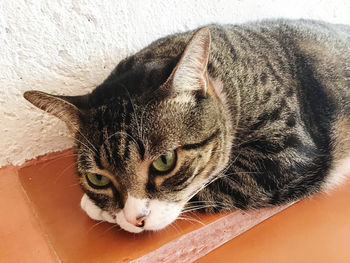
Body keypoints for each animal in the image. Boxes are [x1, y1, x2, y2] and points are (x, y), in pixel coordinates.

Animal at [23, 19, 350, 234]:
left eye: (165, 161)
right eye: (98, 179)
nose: (133, 220)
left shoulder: (287, 153)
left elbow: (217, 183)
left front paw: (96, 208)